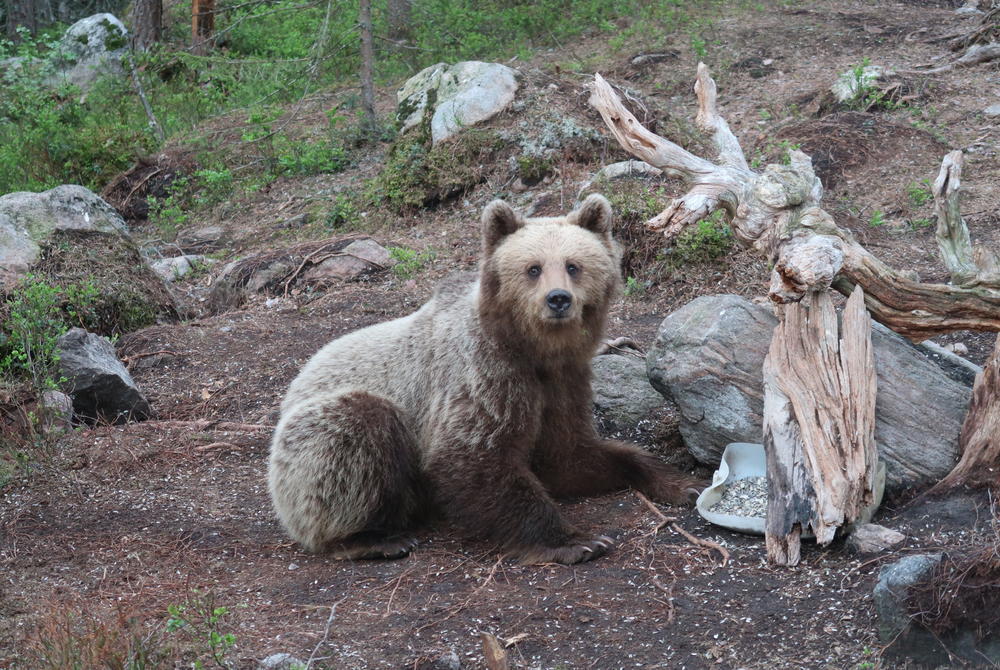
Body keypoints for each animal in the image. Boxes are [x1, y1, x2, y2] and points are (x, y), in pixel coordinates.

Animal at [270, 194, 700, 568]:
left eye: (573, 265)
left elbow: (571, 455)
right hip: (309, 444)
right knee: (354, 431)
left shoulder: (563, 383)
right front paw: (577, 541)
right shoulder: (487, 377)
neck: (534, 352)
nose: (558, 299)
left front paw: (680, 482)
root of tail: (293, 386)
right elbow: (475, 458)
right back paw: (371, 539)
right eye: (533, 268)